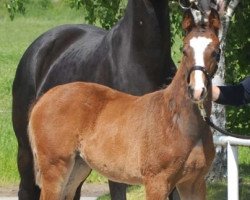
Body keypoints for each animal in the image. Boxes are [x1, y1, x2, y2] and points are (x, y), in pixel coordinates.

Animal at [28, 10, 221, 199]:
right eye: (184, 50)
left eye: (216, 52)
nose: (197, 91)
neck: (179, 121)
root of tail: (43, 98)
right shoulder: (156, 181)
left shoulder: (194, 182)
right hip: (55, 167)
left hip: (78, 167)